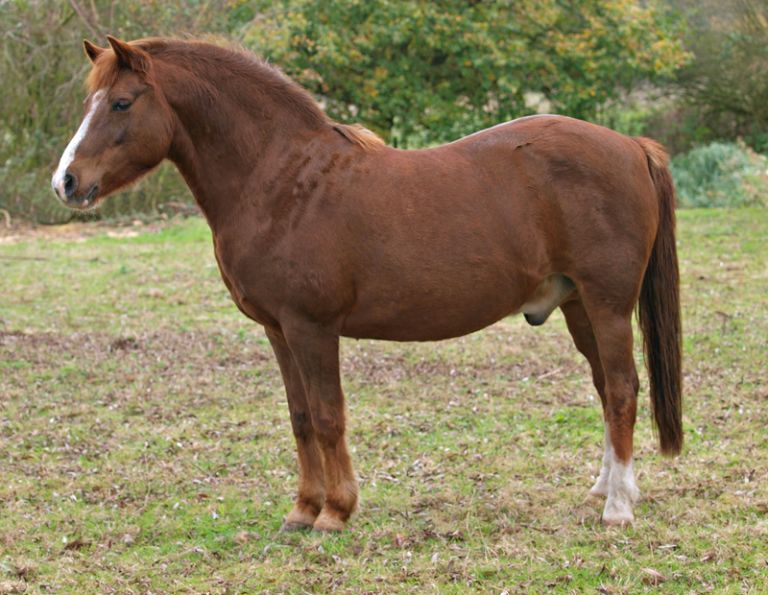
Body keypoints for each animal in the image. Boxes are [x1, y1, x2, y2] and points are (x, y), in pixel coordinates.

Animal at [52, 36, 682, 531]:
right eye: (88, 102)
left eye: (122, 102)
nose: (66, 181)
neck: (282, 180)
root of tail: (633, 146)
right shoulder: (279, 331)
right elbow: (301, 417)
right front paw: (302, 510)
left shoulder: (312, 328)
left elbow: (329, 415)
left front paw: (336, 512)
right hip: (578, 306)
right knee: (605, 388)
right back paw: (605, 489)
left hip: (606, 304)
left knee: (622, 390)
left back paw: (618, 508)